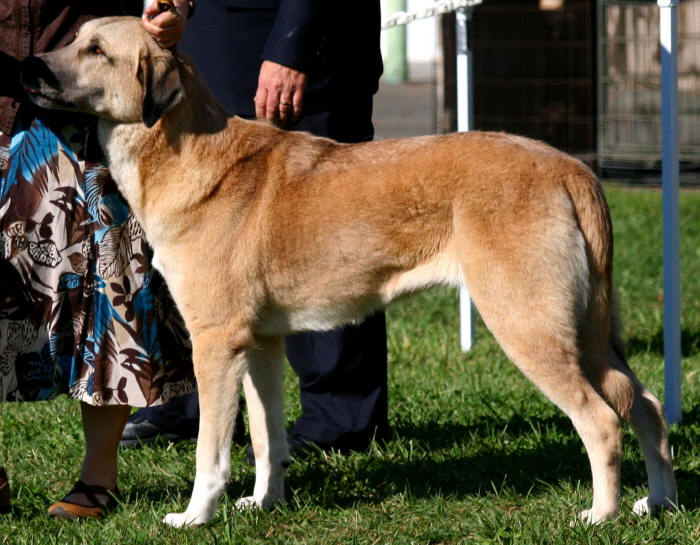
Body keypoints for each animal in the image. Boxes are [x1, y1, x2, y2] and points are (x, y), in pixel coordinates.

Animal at [23, 15, 680, 528]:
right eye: (74, 39)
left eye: (96, 50)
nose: (29, 65)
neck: (183, 153)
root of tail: (573, 169)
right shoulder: (260, 344)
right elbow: (267, 437)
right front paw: (264, 504)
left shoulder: (216, 342)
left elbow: (213, 450)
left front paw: (195, 515)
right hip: (591, 332)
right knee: (646, 405)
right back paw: (657, 504)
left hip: (529, 326)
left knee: (602, 420)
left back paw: (601, 515)